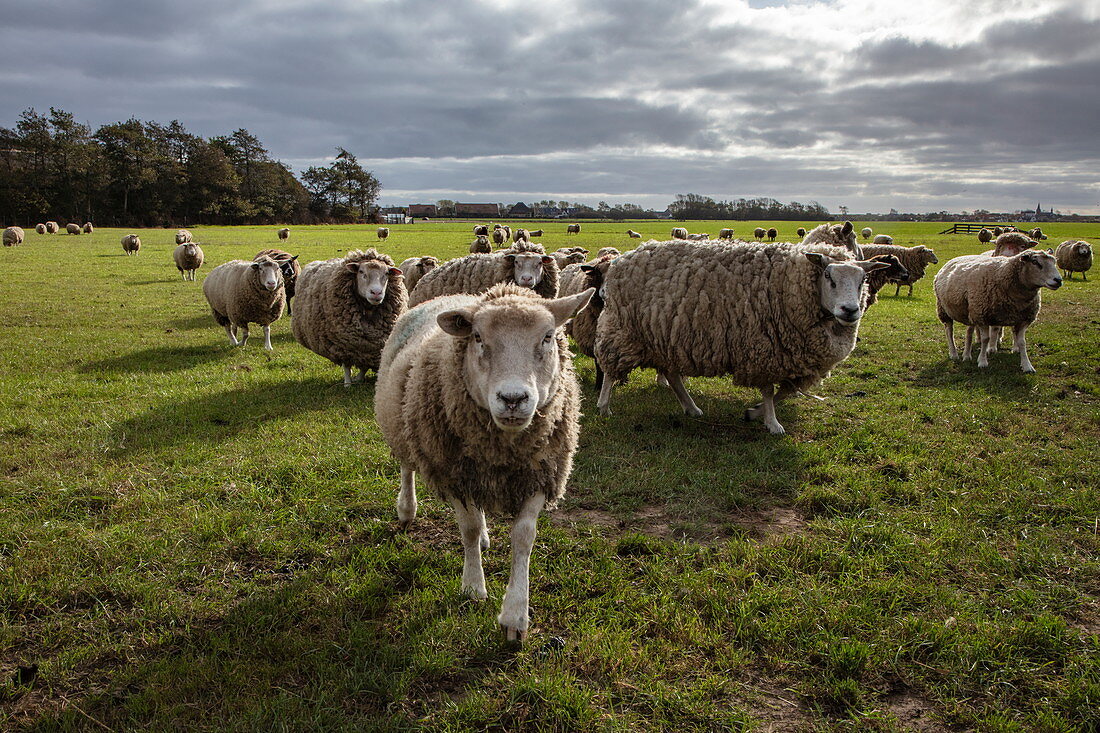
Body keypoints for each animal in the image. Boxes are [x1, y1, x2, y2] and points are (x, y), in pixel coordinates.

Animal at [292, 246, 409, 385]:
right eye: (361, 272)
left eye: (386, 273)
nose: (376, 292)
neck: (368, 309)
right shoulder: (342, 346)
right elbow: (346, 366)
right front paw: (347, 383)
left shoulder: (369, 347)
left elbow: (364, 364)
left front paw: (359, 378)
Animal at [376, 281, 598, 638]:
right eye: (478, 337)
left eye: (548, 336)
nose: (513, 398)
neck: (502, 449)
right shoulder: (454, 472)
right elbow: (466, 528)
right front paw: (472, 587)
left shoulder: (539, 472)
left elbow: (523, 537)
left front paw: (515, 617)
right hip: (404, 424)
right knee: (407, 467)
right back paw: (407, 510)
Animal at [589, 239, 888, 433]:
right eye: (828, 276)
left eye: (863, 280)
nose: (850, 310)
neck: (791, 284)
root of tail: (623, 259)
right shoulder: (763, 348)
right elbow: (769, 391)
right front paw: (772, 423)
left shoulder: (790, 358)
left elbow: (786, 391)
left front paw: (755, 413)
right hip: (624, 330)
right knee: (610, 368)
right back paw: (604, 406)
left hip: (664, 338)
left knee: (672, 375)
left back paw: (691, 408)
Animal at [932, 248, 1060, 372]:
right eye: (1035, 262)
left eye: (1054, 262)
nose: (1058, 280)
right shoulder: (981, 316)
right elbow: (985, 339)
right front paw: (982, 361)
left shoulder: (1023, 319)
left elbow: (1022, 342)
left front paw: (1027, 365)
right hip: (944, 310)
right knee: (949, 331)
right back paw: (954, 354)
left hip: (970, 312)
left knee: (969, 332)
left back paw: (967, 356)